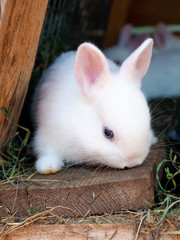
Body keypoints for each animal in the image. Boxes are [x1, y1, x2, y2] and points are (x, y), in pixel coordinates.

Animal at [32, 38, 153, 173]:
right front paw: (49, 167)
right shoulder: (47, 133)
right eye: (108, 133)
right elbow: (46, 149)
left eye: (148, 123)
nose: (132, 161)